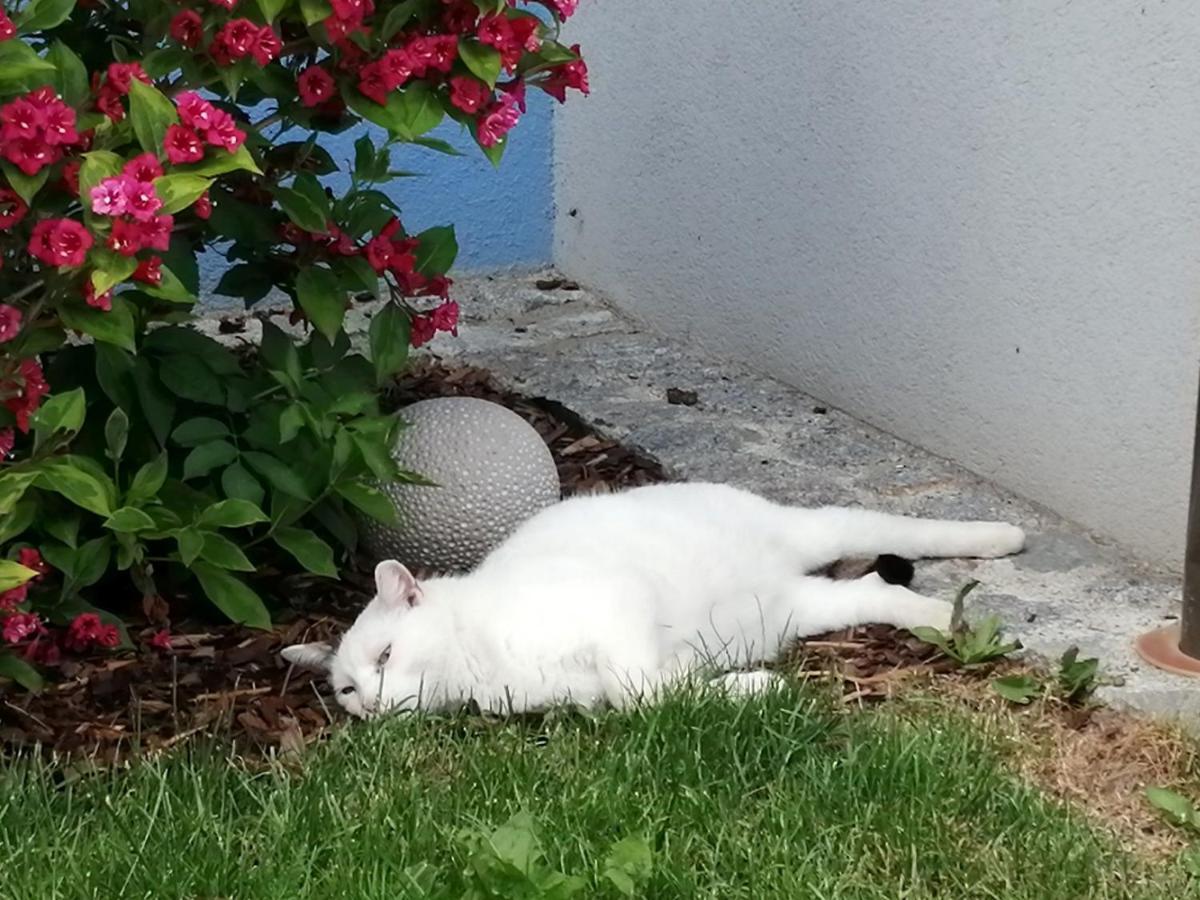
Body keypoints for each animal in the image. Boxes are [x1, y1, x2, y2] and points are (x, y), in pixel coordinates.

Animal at [280, 482, 1022, 724]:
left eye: (386, 655)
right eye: (347, 688)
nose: (370, 705)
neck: (479, 668)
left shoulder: (617, 606)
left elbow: (638, 690)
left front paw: (757, 687)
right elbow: (652, 695)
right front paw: (738, 685)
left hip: (825, 532)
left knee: (891, 528)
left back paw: (1004, 536)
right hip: (800, 607)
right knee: (873, 591)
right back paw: (943, 618)